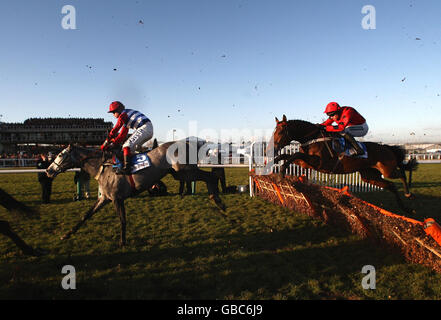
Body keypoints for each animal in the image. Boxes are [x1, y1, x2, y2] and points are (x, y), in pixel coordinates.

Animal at [46, 139, 227, 246]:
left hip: (184, 171)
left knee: (211, 176)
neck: (103, 167)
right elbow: (86, 215)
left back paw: (218, 201)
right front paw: (66, 235)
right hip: (180, 174)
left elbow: (122, 220)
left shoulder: (117, 199)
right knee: (209, 177)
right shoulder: (105, 198)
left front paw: (122, 242)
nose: (48, 170)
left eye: (60, 155)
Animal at [268, 114, 416, 212]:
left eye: (280, 131)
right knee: (391, 186)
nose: (272, 148)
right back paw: (404, 207)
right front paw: (271, 164)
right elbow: (287, 155)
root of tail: (387, 147)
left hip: (387, 170)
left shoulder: (318, 162)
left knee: (401, 174)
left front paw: (281, 173)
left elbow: (294, 155)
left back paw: (408, 194)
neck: (312, 138)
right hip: (369, 176)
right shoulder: (306, 163)